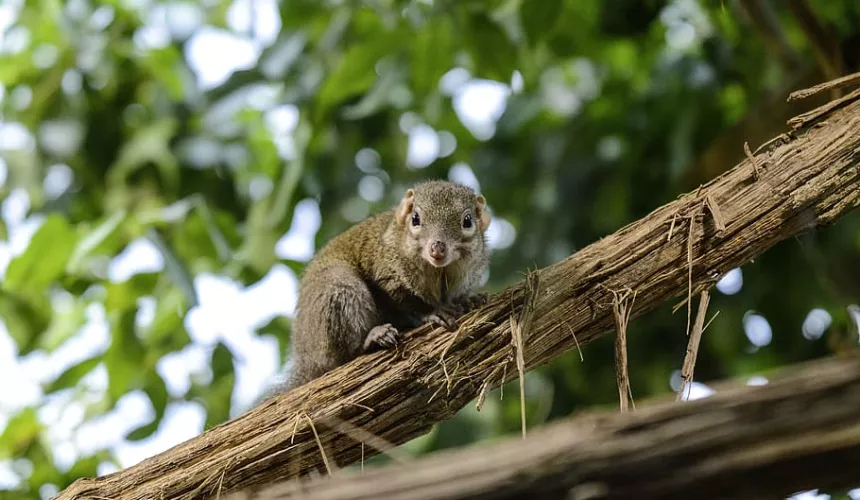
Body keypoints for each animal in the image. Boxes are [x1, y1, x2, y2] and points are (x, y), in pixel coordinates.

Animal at [264, 181, 490, 398]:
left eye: (467, 221)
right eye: (415, 219)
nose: (437, 248)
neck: (439, 271)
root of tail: (306, 360)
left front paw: (469, 300)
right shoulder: (386, 267)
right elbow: (405, 298)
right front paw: (434, 311)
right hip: (339, 291)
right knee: (342, 357)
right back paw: (371, 340)